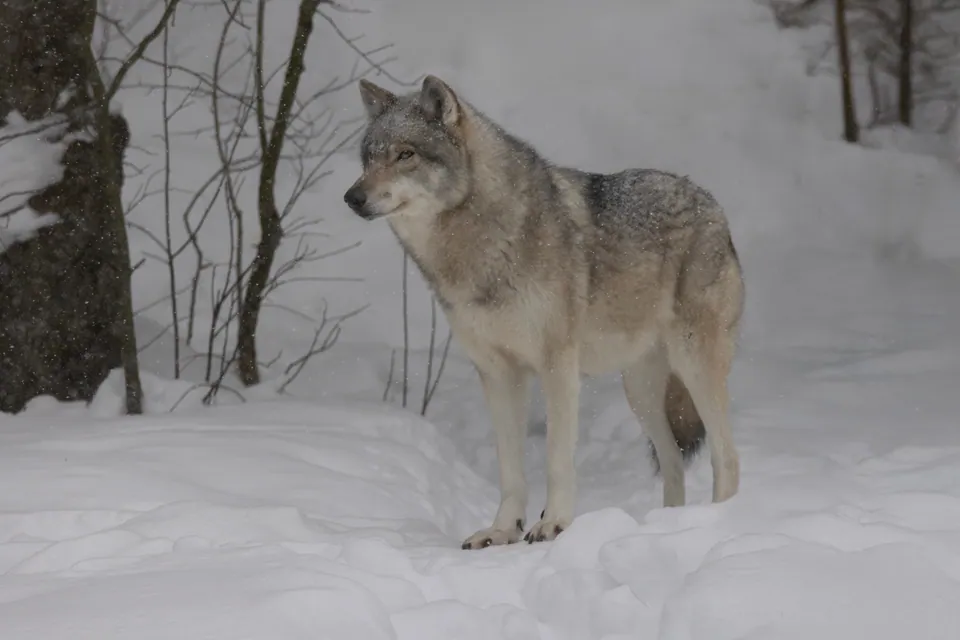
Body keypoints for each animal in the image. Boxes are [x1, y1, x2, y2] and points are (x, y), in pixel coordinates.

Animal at [343, 75, 745, 550]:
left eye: (405, 154)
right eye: (368, 158)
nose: (352, 197)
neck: (478, 245)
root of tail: (712, 204)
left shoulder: (558, 367)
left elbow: (556, 459)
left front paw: (553, 524)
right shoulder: (498, 373)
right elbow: (510, 469)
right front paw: (501, 531)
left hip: (693, 366)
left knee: (727, 458)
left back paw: (714, 525)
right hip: (640, 392)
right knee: (674, 463)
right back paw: (667, 526)